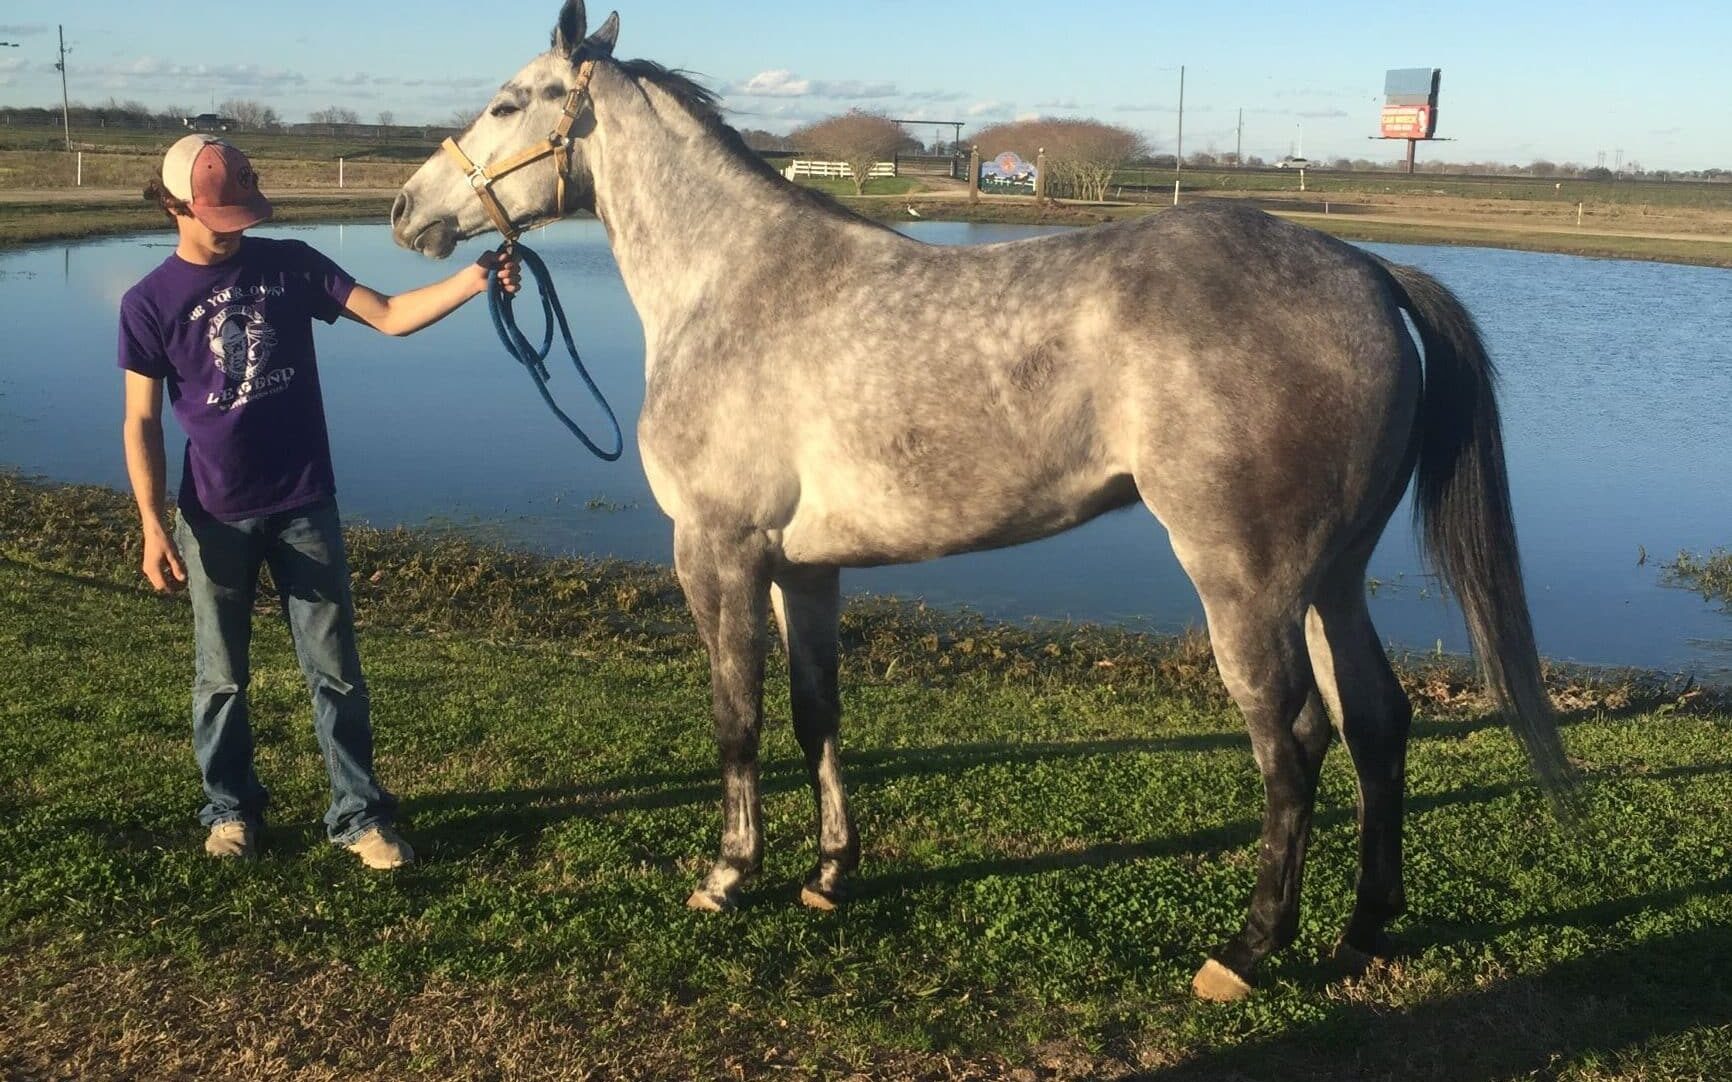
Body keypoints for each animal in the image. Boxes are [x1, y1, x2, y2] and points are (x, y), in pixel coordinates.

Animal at [393, 0, 1572, 997]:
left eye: (509, 101)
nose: (409, 209)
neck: (733, 286)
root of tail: (1369, 271)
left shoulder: (716, 550)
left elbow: (737, 717)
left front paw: (729, 875)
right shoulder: (804, 567)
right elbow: (818, 713)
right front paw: (829, 872)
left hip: (1247, 585)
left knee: (1293, 739)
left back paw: (1247, 950)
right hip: (1332, 578)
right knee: (1377, 724)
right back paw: (1363, 931)